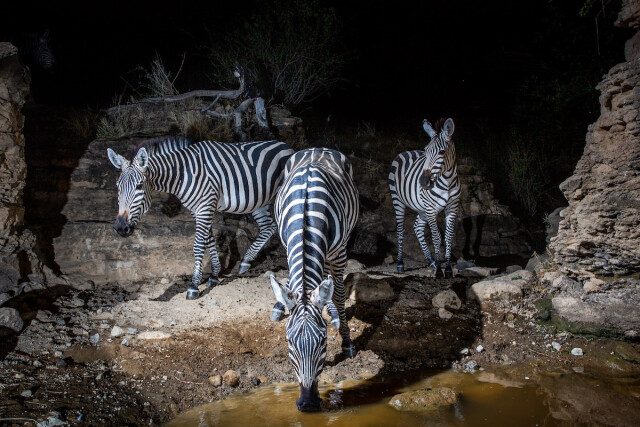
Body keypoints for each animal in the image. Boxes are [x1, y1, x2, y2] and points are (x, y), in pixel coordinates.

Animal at [107, 139, 292, 300]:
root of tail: (284, 144)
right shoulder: (198, 210)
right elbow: (209, 240)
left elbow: (198, 245)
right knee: (268, 226)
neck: (183, 175)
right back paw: (246, 261)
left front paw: (194, 286)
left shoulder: (205, 207)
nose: (120, 227)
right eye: (117, 186)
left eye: (139, 186)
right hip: (260, 200)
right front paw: (215, 275)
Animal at [268, 149, 360, 412]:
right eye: (289, 342)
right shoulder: (288, 245)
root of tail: (317, 148)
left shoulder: (339, 253)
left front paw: (347, 341)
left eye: (323, 342)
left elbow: (337, 294)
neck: (306, 216)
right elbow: (293, 284)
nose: (308, 404)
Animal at [384, 117, 460, 280]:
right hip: (398, 200)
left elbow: (449, 236)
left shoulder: (452, 208)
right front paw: (439, 271)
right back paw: (400, 264)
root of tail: (406, 151)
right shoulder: (431, 209)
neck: (447, 181)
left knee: (417, 227)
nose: (423, 182)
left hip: (422, 208)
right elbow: (436, 238)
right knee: (400, 230)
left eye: (442, 152)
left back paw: (431, 262)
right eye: (425, 151)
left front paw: (447, 269)